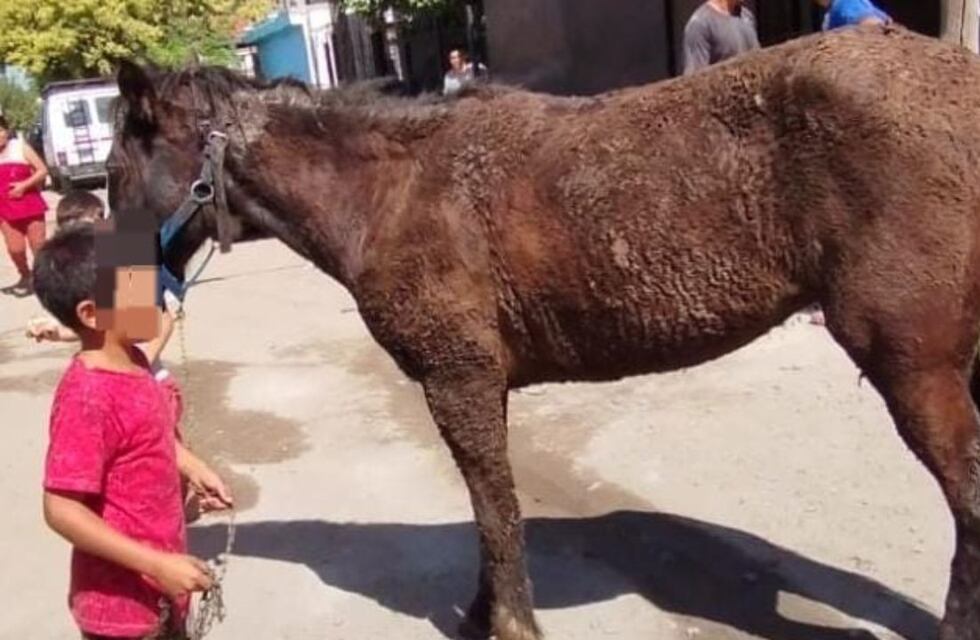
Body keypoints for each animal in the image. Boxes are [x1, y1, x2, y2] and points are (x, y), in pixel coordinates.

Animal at [108, 25, 980, 640]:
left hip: (916, 364)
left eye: (115, 173)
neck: (390, 190)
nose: (104, 286)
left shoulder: (457, 378)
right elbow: (486, 503)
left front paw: (508, 623)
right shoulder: (474, 383)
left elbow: (495, 506)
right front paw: (480, 611)